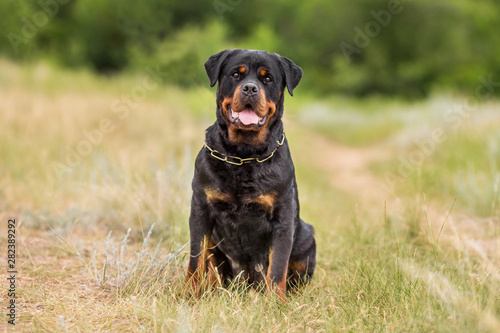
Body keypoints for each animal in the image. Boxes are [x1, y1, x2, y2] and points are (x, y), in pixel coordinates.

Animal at [186, 49, 314, 300]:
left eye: (268, 79)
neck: (243, 155)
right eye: (236, 74)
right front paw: (188, 295)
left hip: (307, 236)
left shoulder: (283, 219)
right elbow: (196, 259)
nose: (250, 89)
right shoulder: (200, 209)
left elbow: (277, 267)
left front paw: (275, 303)